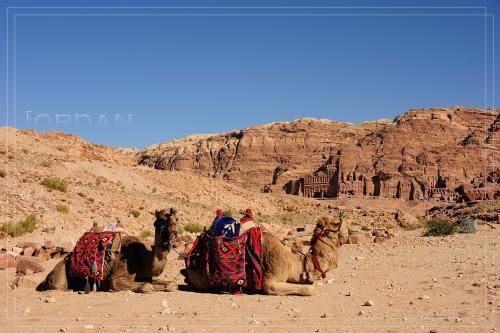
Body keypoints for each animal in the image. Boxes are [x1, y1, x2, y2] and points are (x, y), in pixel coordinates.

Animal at [38, 208, 180, 294]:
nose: (173, 228)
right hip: (60, 274)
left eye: (177, 219)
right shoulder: (117, 277)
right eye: (161, 218)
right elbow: (146, 286)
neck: (144, 258)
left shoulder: (146, 276)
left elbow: (172, 284)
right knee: (58, 286)